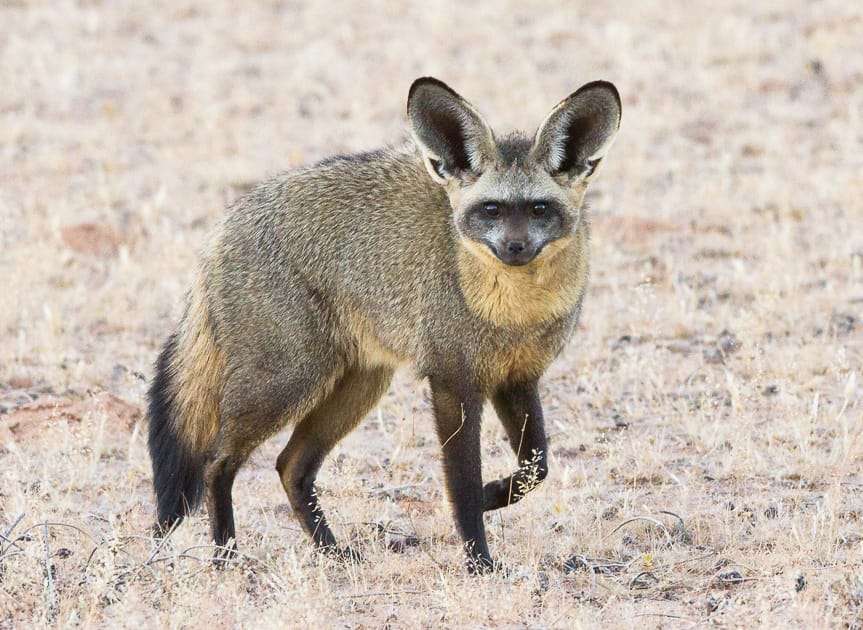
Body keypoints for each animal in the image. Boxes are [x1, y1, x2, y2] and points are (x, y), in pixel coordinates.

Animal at [148, 76, 621, 572]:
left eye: (539, 209)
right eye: (491, 209)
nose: (515, 248)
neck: (513, 315)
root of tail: (222, 225)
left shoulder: (517, 378)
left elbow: (536, 467)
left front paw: (495, 494)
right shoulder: (453, 382)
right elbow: (463, 487)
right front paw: (479, 562)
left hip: (357, 388)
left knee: (290, 466)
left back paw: (332, 552)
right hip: (286, 383)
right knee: (217, 464)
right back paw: (225, 557)